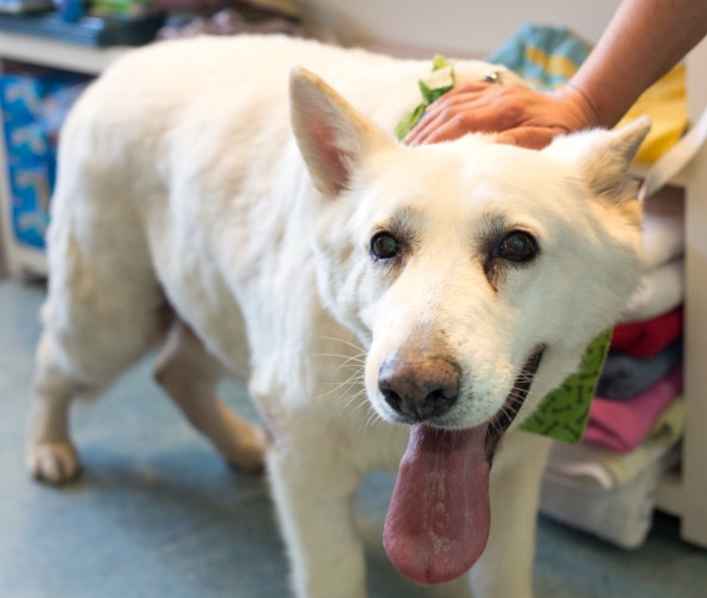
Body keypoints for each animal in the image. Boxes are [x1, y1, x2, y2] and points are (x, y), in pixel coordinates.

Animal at [27, 35, 648, 598]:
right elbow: (334, 574)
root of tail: (128, 61)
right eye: (384, 245)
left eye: (517, 246)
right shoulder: (308, 474)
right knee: (53, 362)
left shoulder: (514, 481)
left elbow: (504, 576)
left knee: (173, 371)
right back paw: (48, 448)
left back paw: (240, 446)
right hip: (111, 321)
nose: (413, 391)